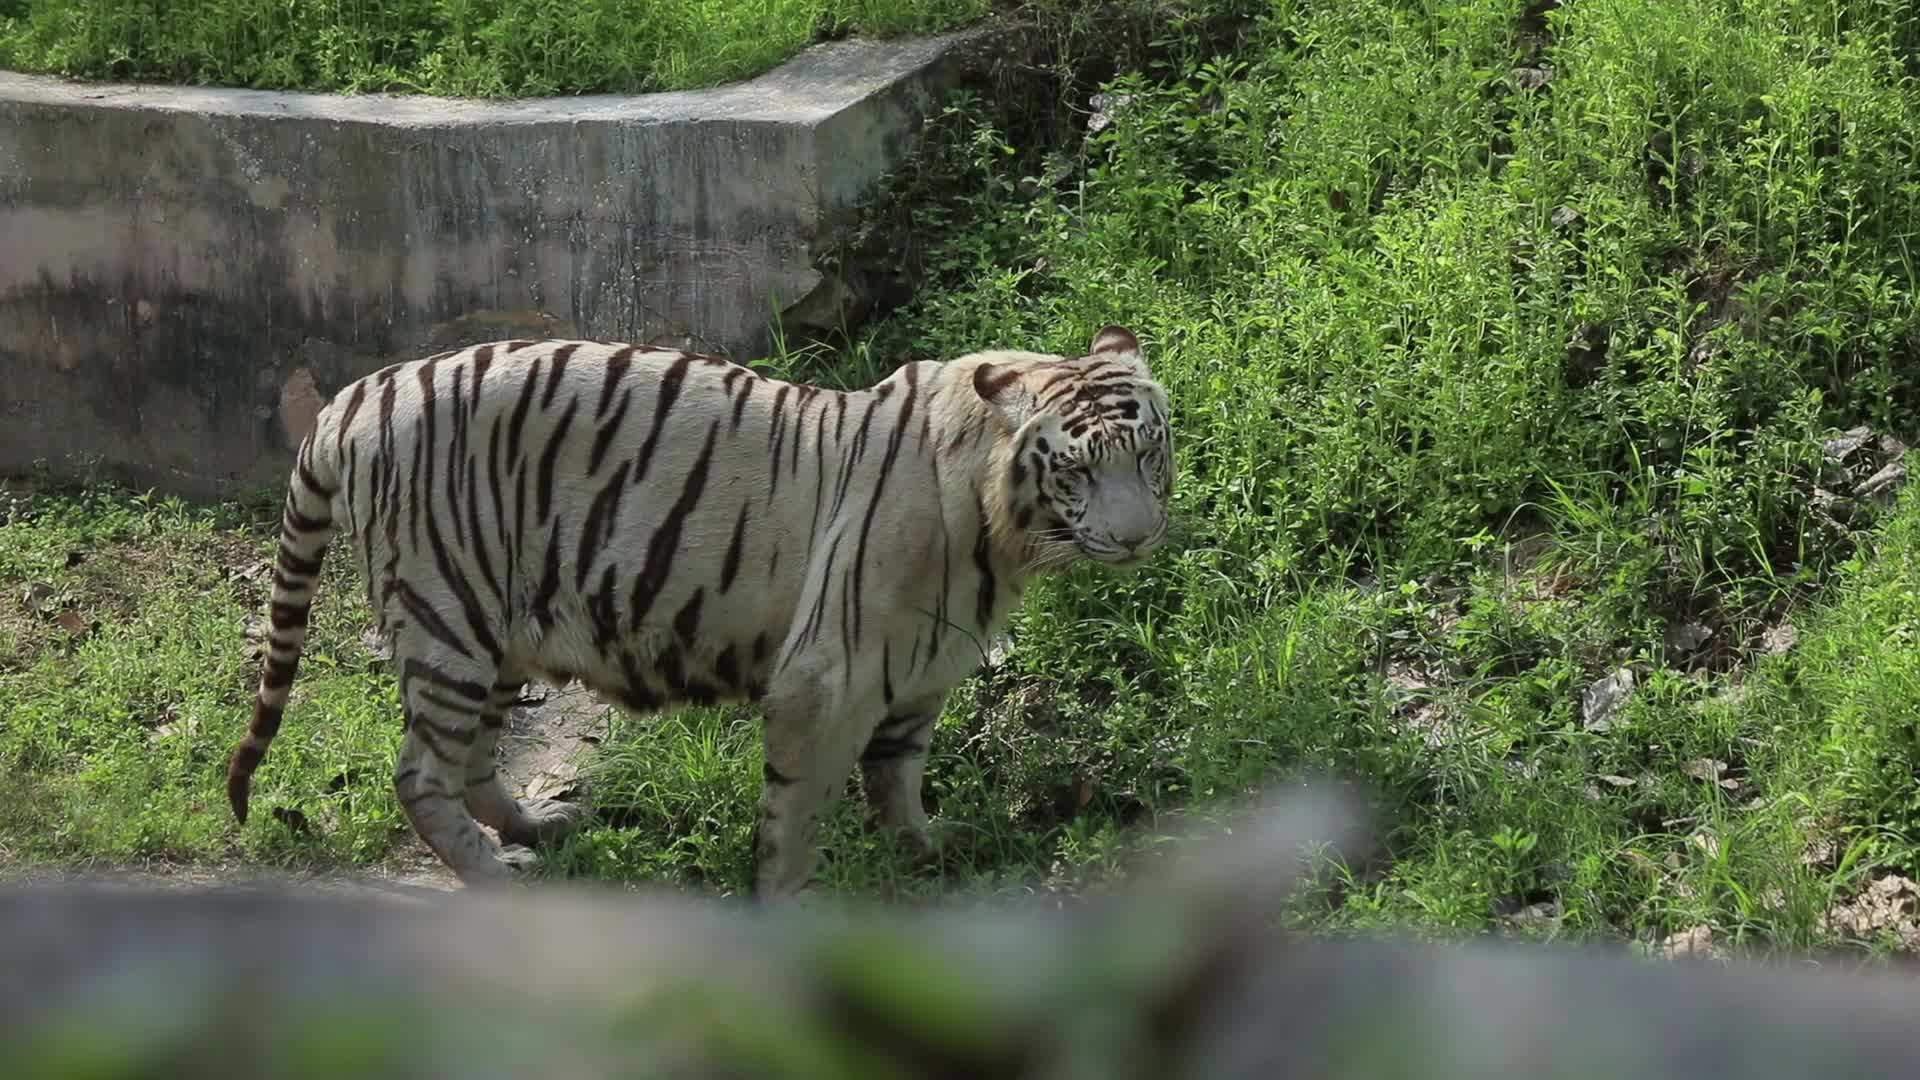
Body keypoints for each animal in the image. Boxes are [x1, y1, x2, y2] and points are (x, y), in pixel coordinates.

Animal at [225, 325, 1174, 898]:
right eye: (1076, 470)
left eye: (1149, 452)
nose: (1138, 538)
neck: (999, 528)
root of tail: (354, 398)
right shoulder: (823, 680)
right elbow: (796, 814)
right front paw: (791, 900)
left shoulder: (919, 673)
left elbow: (898, 779)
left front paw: (929, 853)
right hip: (449, 612)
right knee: (420, 773)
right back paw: (498, 877)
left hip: (498, 633)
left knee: (470, 757)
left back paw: (535, 825)